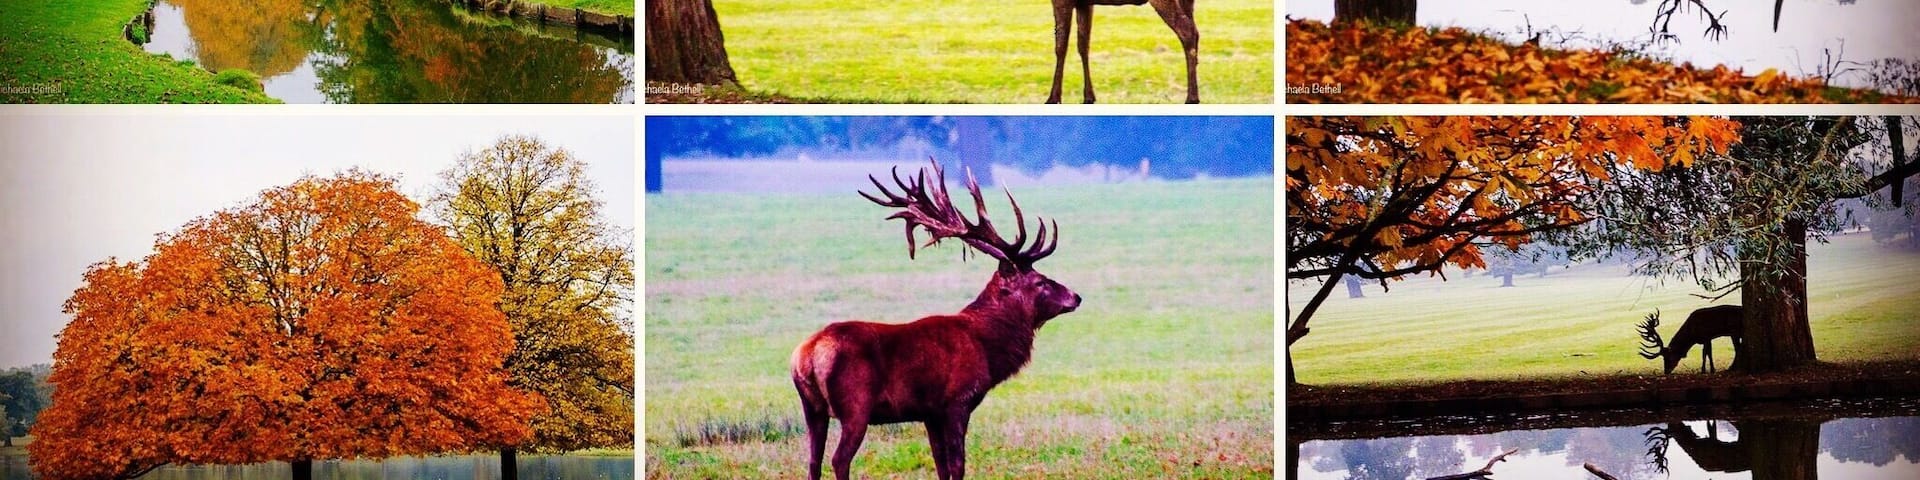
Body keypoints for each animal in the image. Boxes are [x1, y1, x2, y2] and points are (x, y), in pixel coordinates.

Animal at [790, 159, 1083, 480]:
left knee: (813, 461)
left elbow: (940, 462)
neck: (986, 348)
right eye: (1041, 281)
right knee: (839, 459)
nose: (1076, 296)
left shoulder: (929, 412)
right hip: (855, 405)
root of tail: (806, 356)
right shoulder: (957, 400)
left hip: (811, 408)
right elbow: (957, 464)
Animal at [1046, 0, 1201, 104]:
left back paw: (1191, 98)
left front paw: (1053, 98)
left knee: (1188, 33)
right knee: (1195, 33)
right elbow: (1083, 46)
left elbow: (1060, 48)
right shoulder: (1084, 3)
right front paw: (1089, 97)